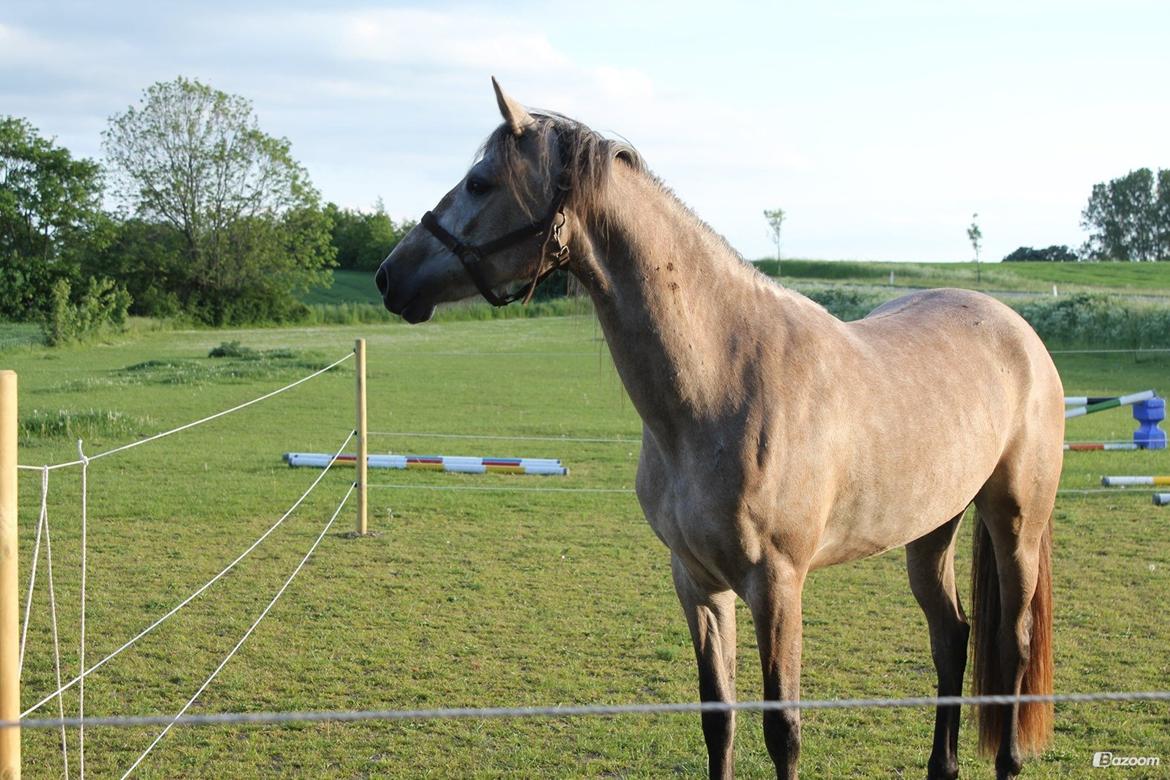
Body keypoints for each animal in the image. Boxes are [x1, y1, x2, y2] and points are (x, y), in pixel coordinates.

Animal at [374, 79, 1062, 780]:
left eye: (480, 182)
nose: (388, 276)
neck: (720, 385)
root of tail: (1019, 331)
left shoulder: (778, 586)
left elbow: (782, 729)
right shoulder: (698, 582)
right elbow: (718, 718)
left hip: (1015, 524)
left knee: (1013, 643)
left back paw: (1009, 760)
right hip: (930, 530)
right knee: (952, 636)